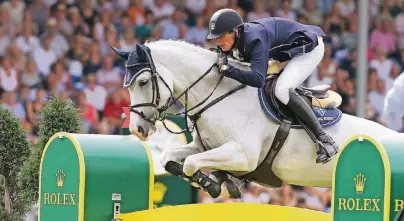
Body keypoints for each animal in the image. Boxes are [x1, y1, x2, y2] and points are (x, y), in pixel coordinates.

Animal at [111, 39, 400, 195]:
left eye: (143, 82)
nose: (137, 129)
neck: (220, 94)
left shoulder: (243, 155)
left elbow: (192, 163)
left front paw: (214, 185)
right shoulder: (205, 146)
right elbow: (169, 158)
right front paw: (221, 181)